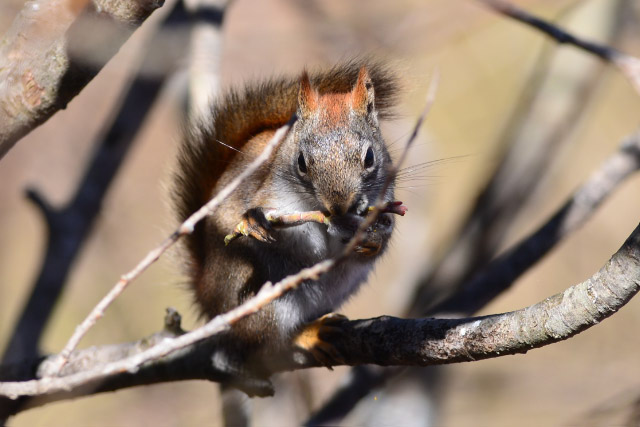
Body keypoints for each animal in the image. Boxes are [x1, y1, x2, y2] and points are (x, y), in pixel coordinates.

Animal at [170, 60, 400, 394]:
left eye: (370, 157)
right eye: (302, 162)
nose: (339, 207)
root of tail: (208, 298)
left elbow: (381, 237)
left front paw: (370, 241)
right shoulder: (265, 192)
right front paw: (254, 221)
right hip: (257, 298)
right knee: (269, 342)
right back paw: (310, 334)